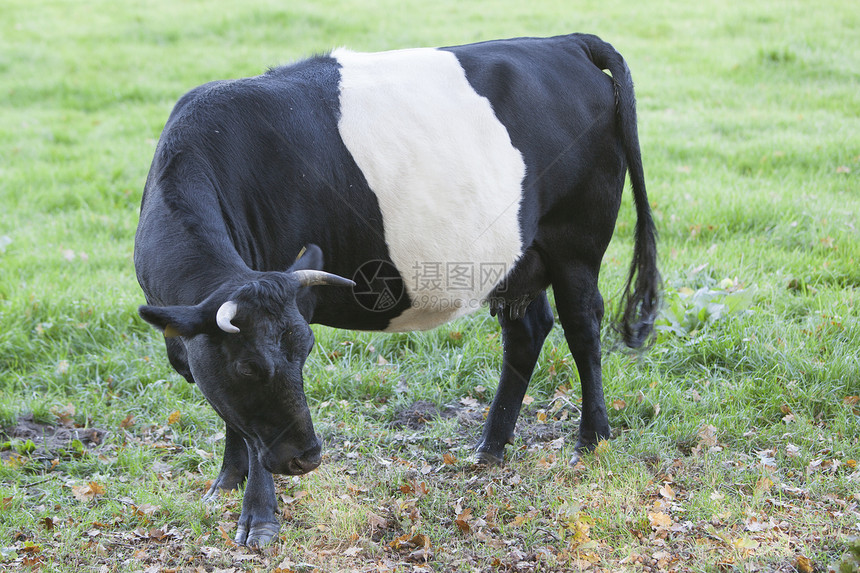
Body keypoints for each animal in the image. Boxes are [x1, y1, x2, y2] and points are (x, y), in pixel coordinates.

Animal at [133, 32, 660, 544]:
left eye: (304, 354)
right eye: (247, 366)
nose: (308, 457)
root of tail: (567, 41)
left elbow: (250, 428)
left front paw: (259, 518)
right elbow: (234, 414)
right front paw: (227, 481)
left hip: (576, 243)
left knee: (582, 329)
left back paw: (591, 441)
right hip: (518, 259)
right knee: (527, 332)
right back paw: (490, 448)